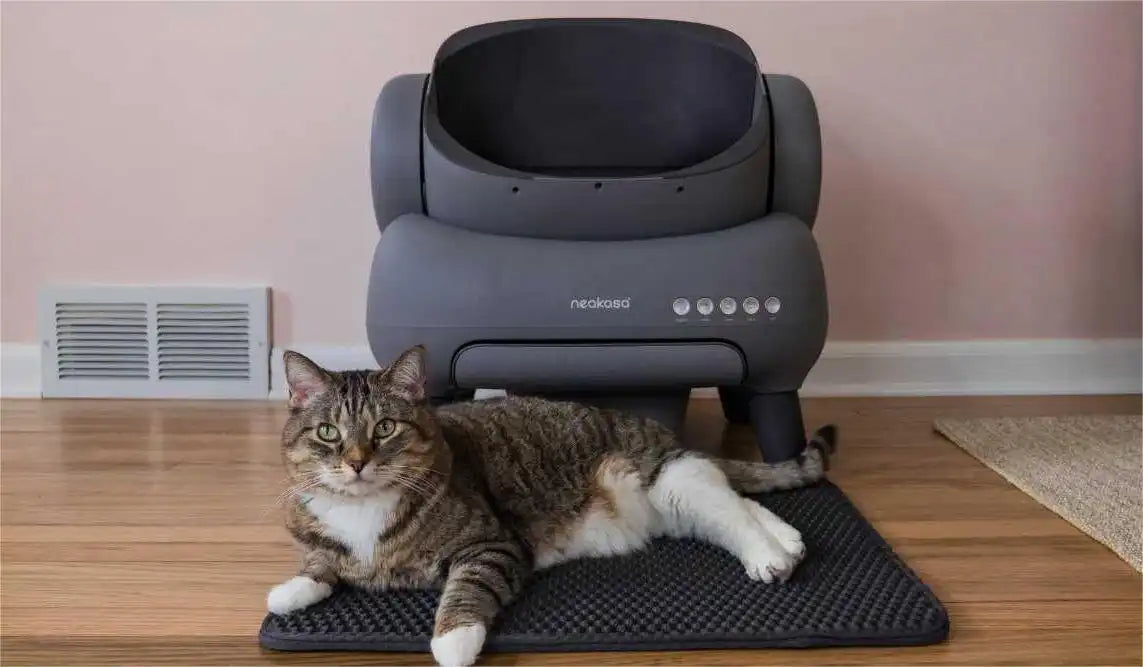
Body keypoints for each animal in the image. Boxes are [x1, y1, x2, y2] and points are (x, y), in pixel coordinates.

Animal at [268, 347, 841, 662]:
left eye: (385, 428)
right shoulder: (316, 535)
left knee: (729, 506)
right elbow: (320, 561)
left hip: (668, 482)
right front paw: (291, 589)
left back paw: (770, 556)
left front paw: (454, 641)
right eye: (328, 433)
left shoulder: (492, 545)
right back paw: (786, 539)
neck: (363, 509)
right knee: (733, 496)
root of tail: (658, 430)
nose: (356, 462)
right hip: (677, 507)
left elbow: (467, 590)